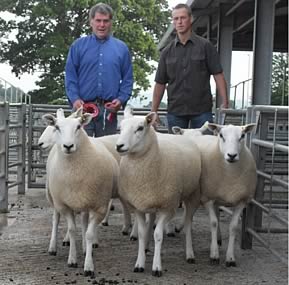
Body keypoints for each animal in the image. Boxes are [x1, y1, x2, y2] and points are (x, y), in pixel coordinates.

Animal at [44, 107, 118, 276]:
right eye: (57, 127)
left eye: (78, 127)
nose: (68, 146)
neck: (75, 171)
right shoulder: (64, 205)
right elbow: (72, 230)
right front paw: (72, 260)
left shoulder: (98, 206)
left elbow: (89, 233)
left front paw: (88, 265)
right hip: (53, 197)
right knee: (55, 219)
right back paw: (52, 247)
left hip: (85, 201)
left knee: (84, 222)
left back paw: (85, 248)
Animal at [115, 110, 200, 276]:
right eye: (120, 128)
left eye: (140, 128)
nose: (119, 145)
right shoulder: (139, 206)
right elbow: (142, 234)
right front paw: (139, 263)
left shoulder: (167, 207)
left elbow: (158, 235)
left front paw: (156, 267)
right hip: (152, 200)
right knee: (151, 220)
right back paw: (147, 247)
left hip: (191, 195)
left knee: (188, 223)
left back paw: (190, 254)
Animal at [172, 122, 255, 266]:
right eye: (221, 135)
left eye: (243, 135)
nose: (231, 155)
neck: (231, 175)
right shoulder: (208, 198)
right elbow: (213, 223)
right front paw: (214, 255)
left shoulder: (242, 201)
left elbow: (233, 226)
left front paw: (230, 257)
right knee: (189, 218)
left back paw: (218, 238)